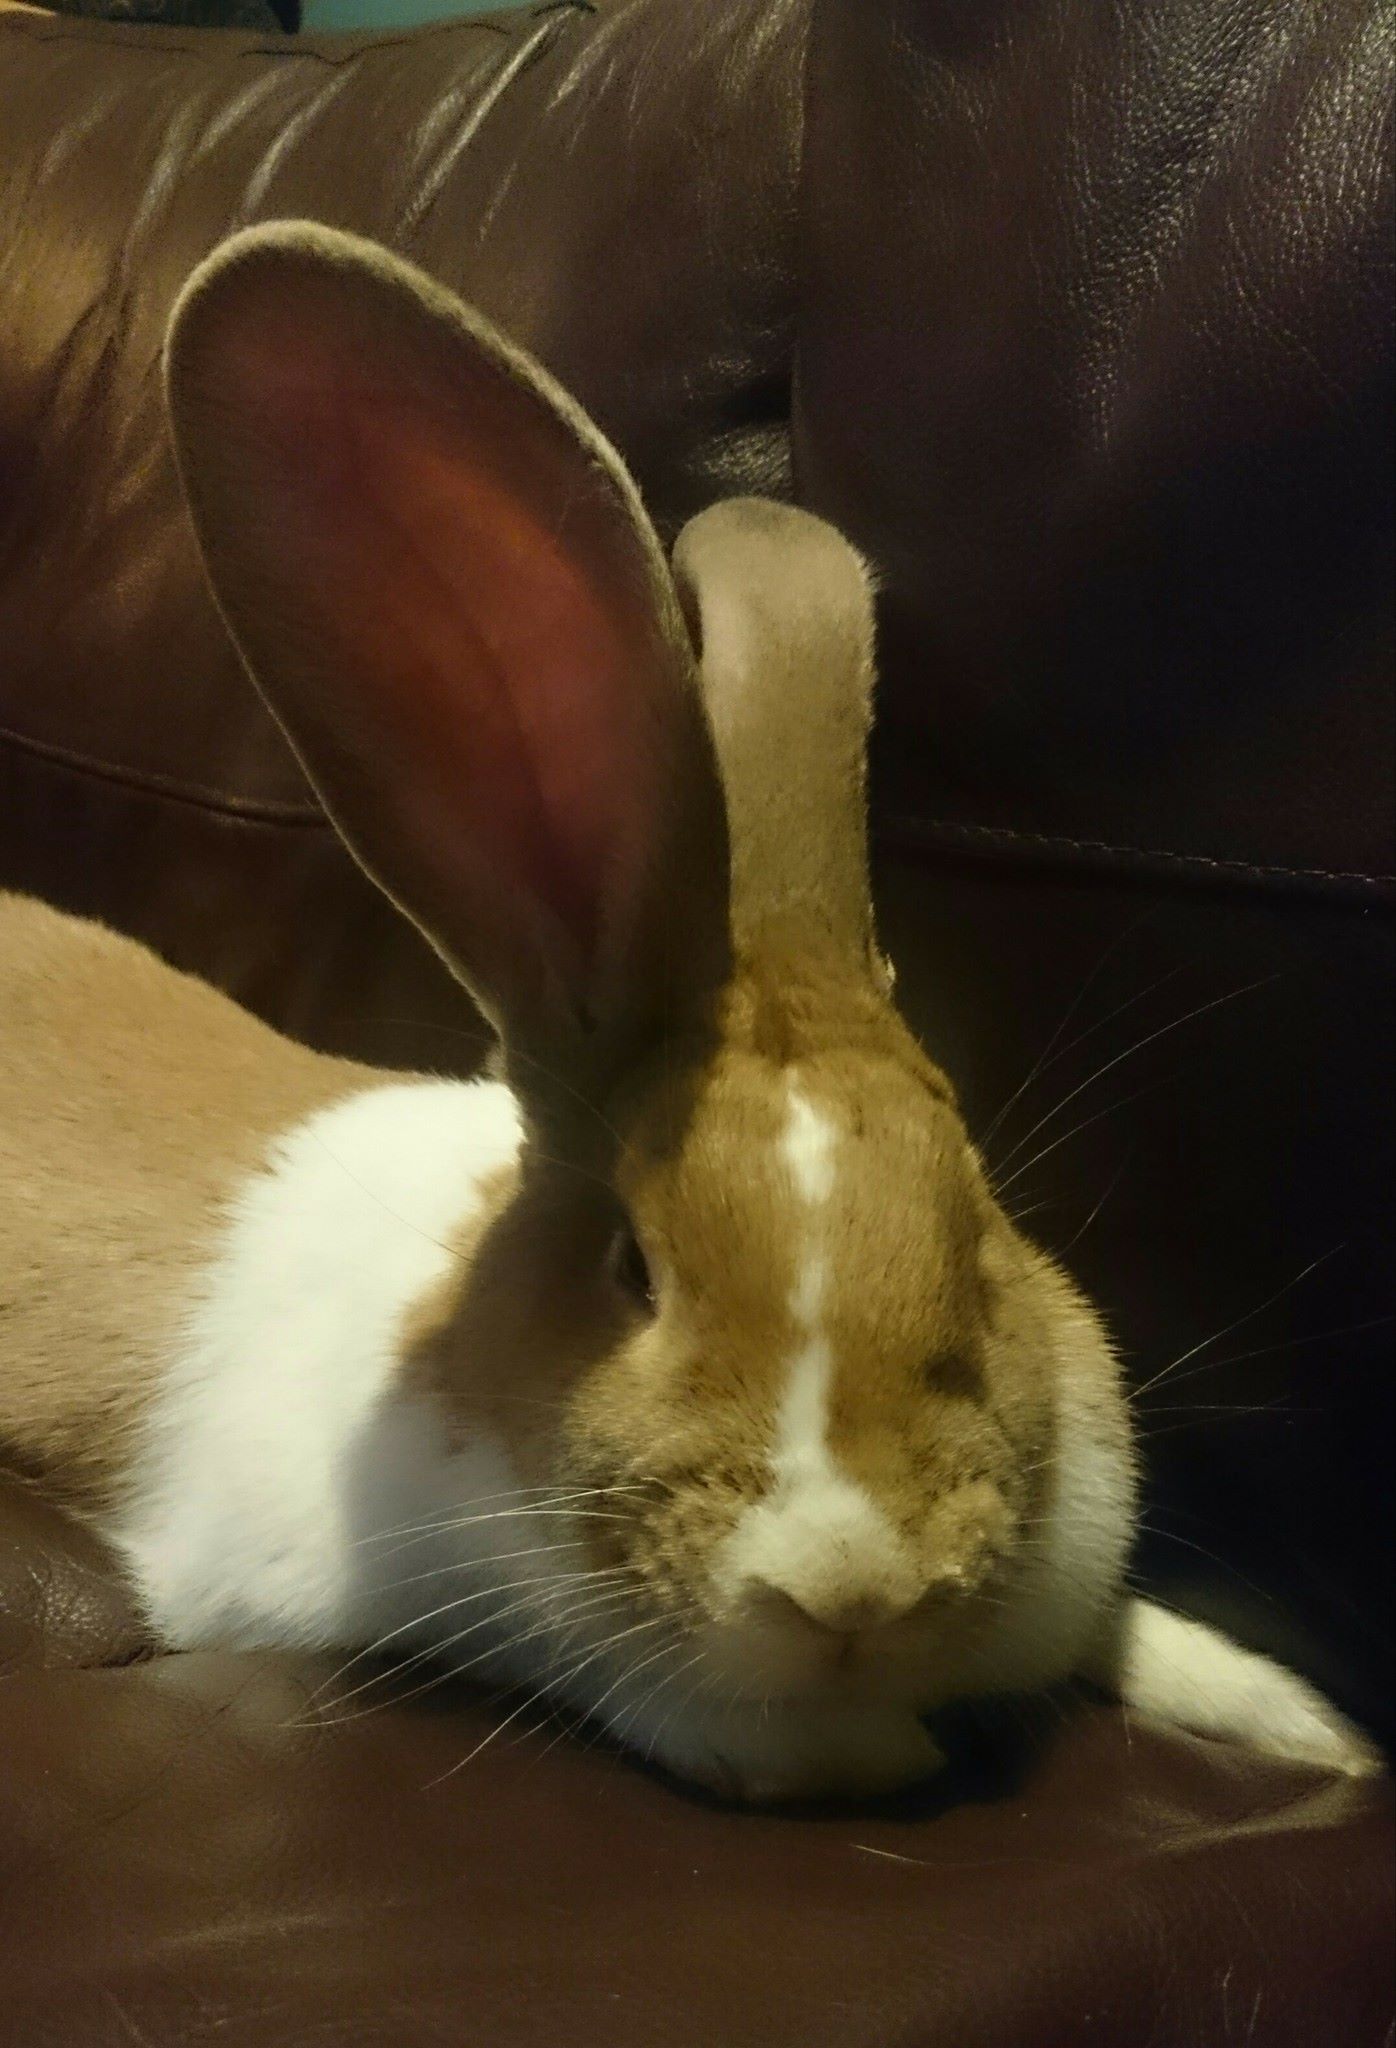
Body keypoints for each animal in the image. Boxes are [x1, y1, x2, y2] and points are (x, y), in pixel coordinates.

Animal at [0, 222, 1381, 1802]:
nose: (850, 1586)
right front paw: (866, 1746)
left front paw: (1305, 1726)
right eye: (633, 1269)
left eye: (978, 1246)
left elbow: (1121, 1627)